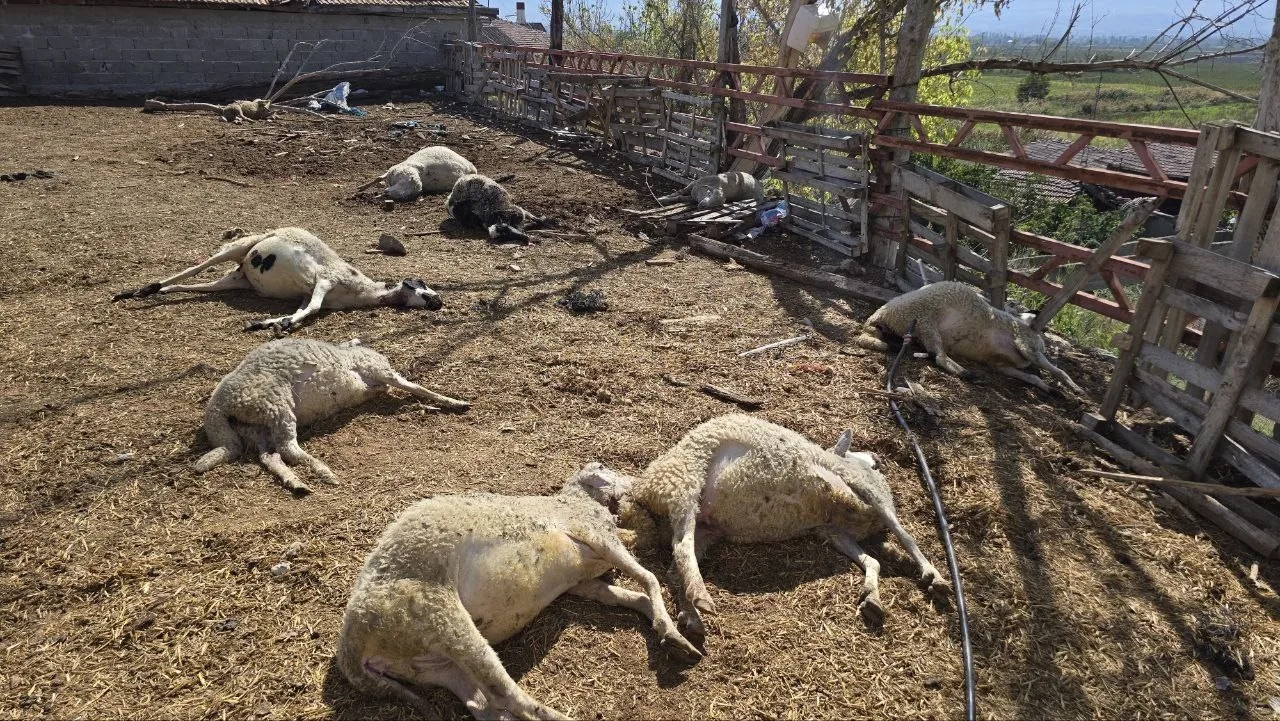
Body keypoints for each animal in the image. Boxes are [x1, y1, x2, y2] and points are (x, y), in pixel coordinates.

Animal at [111, 226, 450, 335]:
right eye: (422, 287)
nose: (439, 301)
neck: (363, 291)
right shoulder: (324, 281)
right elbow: (312, 310)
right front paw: (278, 325)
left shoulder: (309, 293)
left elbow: (302, 310)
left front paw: (267, 324)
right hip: (238, 248)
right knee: (195, 268)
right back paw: (139, 290)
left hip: (236, 281)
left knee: (195, 286)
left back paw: (139, 293)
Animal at [194, 338, 465, 496]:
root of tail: (218, 408)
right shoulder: (379, 370)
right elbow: (417, 388)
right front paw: (455, 402)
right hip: (276, 406)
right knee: (288, 448)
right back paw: (325, 472)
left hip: (255, 426)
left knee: (270, 456)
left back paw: (297, 483)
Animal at [337, 463, 701, 721]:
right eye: (605, 467)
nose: (638, 482)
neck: (576, 499)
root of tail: (350, 649)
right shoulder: (596, 534)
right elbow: (649, 578)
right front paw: (676, 634)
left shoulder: (581, 581)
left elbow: (634, 596)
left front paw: (671, 635)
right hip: (437, 616)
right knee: (507, 696)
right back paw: (564, 718)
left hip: (430, 665)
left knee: (484, 705)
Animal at [596, 412, 942, 642]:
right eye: (867, 462)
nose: (876, 459)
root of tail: (644, 490)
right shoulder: (863, 488)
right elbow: (905, 534)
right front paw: (934, 576)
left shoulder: (830, 530)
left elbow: (872, 560)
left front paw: (872, 597)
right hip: (685, 477)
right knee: (681, 546)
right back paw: (700, 598)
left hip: (707, 526)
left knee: (676, 561)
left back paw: (691, 613)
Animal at [855, 280, 1085, 394]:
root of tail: (877, 316)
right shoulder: (1026, 345)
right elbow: (1058, 370)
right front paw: (1075, 389)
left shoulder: (1000, 365)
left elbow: (1033, 377)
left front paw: (1051, 389)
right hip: (925, 321)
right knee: (939, 357)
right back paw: (968, 374)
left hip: (920, 328)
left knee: (933, 353)